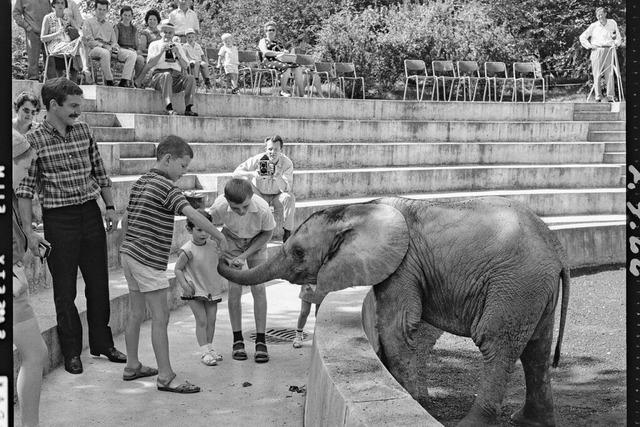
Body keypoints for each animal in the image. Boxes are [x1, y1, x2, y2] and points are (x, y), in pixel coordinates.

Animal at [220, 198, 568, 427]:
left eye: (297, 252)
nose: (227, 257)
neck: (359, 208)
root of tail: (557, 251)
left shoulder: (404, 264)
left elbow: (397, 327)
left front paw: (415, 399)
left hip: (515, 283)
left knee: (495, 343)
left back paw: (470, 424)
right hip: (533, 289)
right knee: (536, 349)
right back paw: (529, 421)